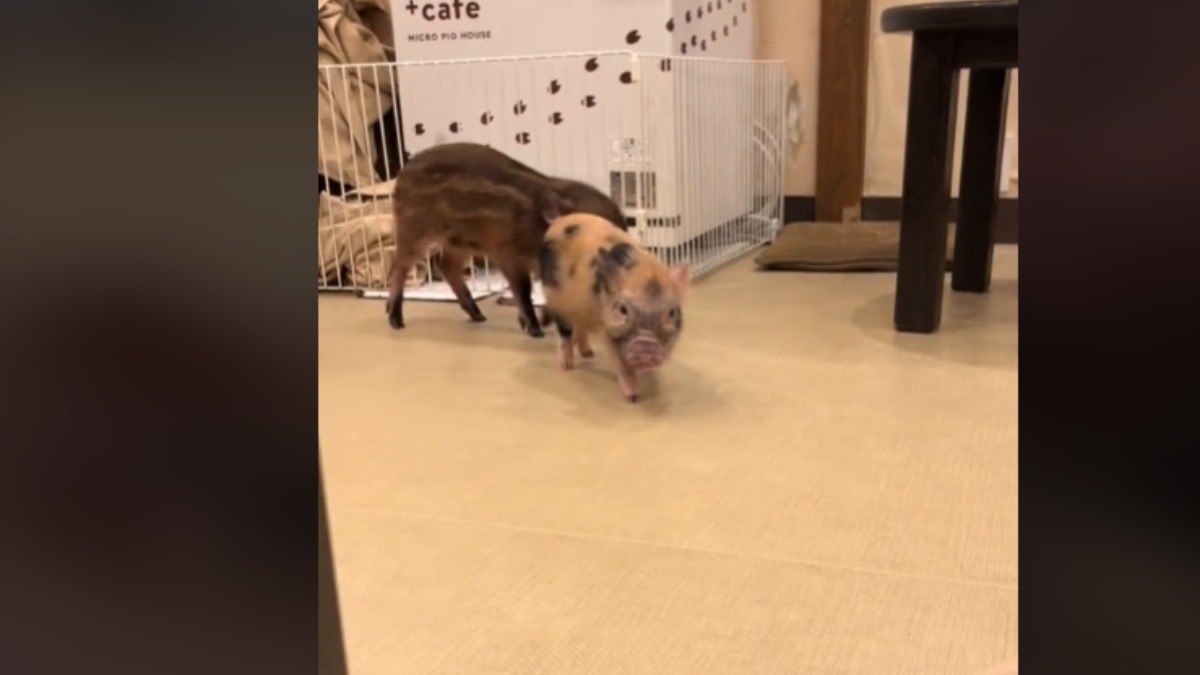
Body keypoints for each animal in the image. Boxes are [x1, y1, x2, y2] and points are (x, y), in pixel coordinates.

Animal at [385, 142, 626, 337]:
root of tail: (402, 173)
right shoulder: (509, 255)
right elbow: (523, 291)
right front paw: (535, 329)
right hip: (413, 230)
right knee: (400, 266)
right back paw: (395, 319)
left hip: (459, 242)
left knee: (445, 265)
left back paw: (477, 315)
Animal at [538, 213, 692, 403]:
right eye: (622, 309)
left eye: (671, 312)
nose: (647, 345)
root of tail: (559, 220)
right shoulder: (608, 330)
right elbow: (622, 364)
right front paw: (633, 397)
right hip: (555, 298)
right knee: (565, 333)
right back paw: (567, 366)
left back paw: (588, 353)